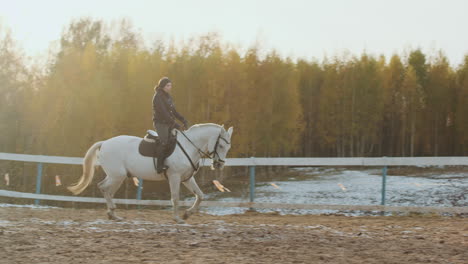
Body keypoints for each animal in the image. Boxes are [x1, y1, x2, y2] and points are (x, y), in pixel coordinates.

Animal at [67, 123, 232, 223]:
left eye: (228, 147)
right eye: (221, 145)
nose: (219, 164)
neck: (188, 146)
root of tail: (105, 143)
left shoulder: (186, 178)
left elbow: (200, 196)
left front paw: (187, 214)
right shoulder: (174, 177)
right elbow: (175, 198)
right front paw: (177, 218)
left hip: (115, 176)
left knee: (104, 188)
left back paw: (113, 214)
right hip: (117, 176)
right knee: (105, 188)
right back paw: (112, 212)